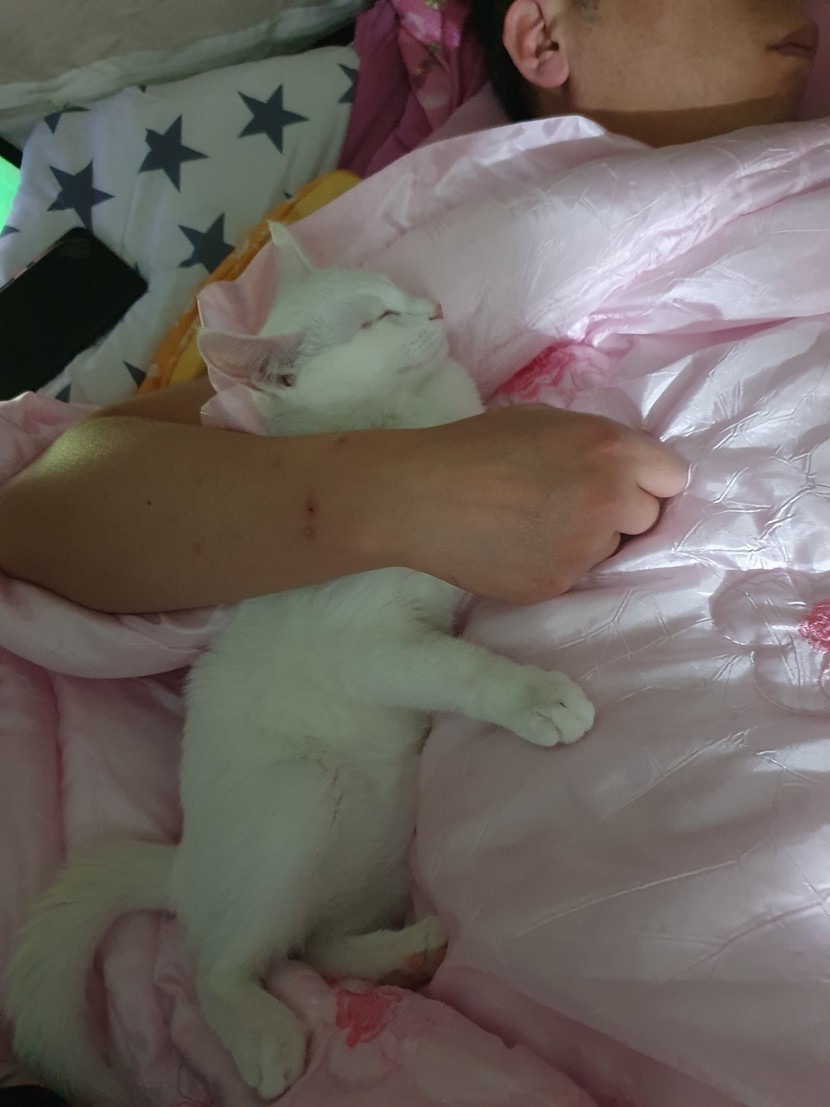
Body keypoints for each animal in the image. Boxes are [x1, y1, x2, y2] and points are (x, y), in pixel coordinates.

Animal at [6, 223, 595, 1104]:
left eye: (398, 292)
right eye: (377, 318)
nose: (435, 307)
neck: (400, 423)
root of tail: (185, 868)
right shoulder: (368, 645)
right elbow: (462, 667)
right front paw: (535, 696)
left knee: (310, 944)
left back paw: (400, 952)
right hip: (296, 796)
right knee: (221, 965)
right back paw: (263, 1032)